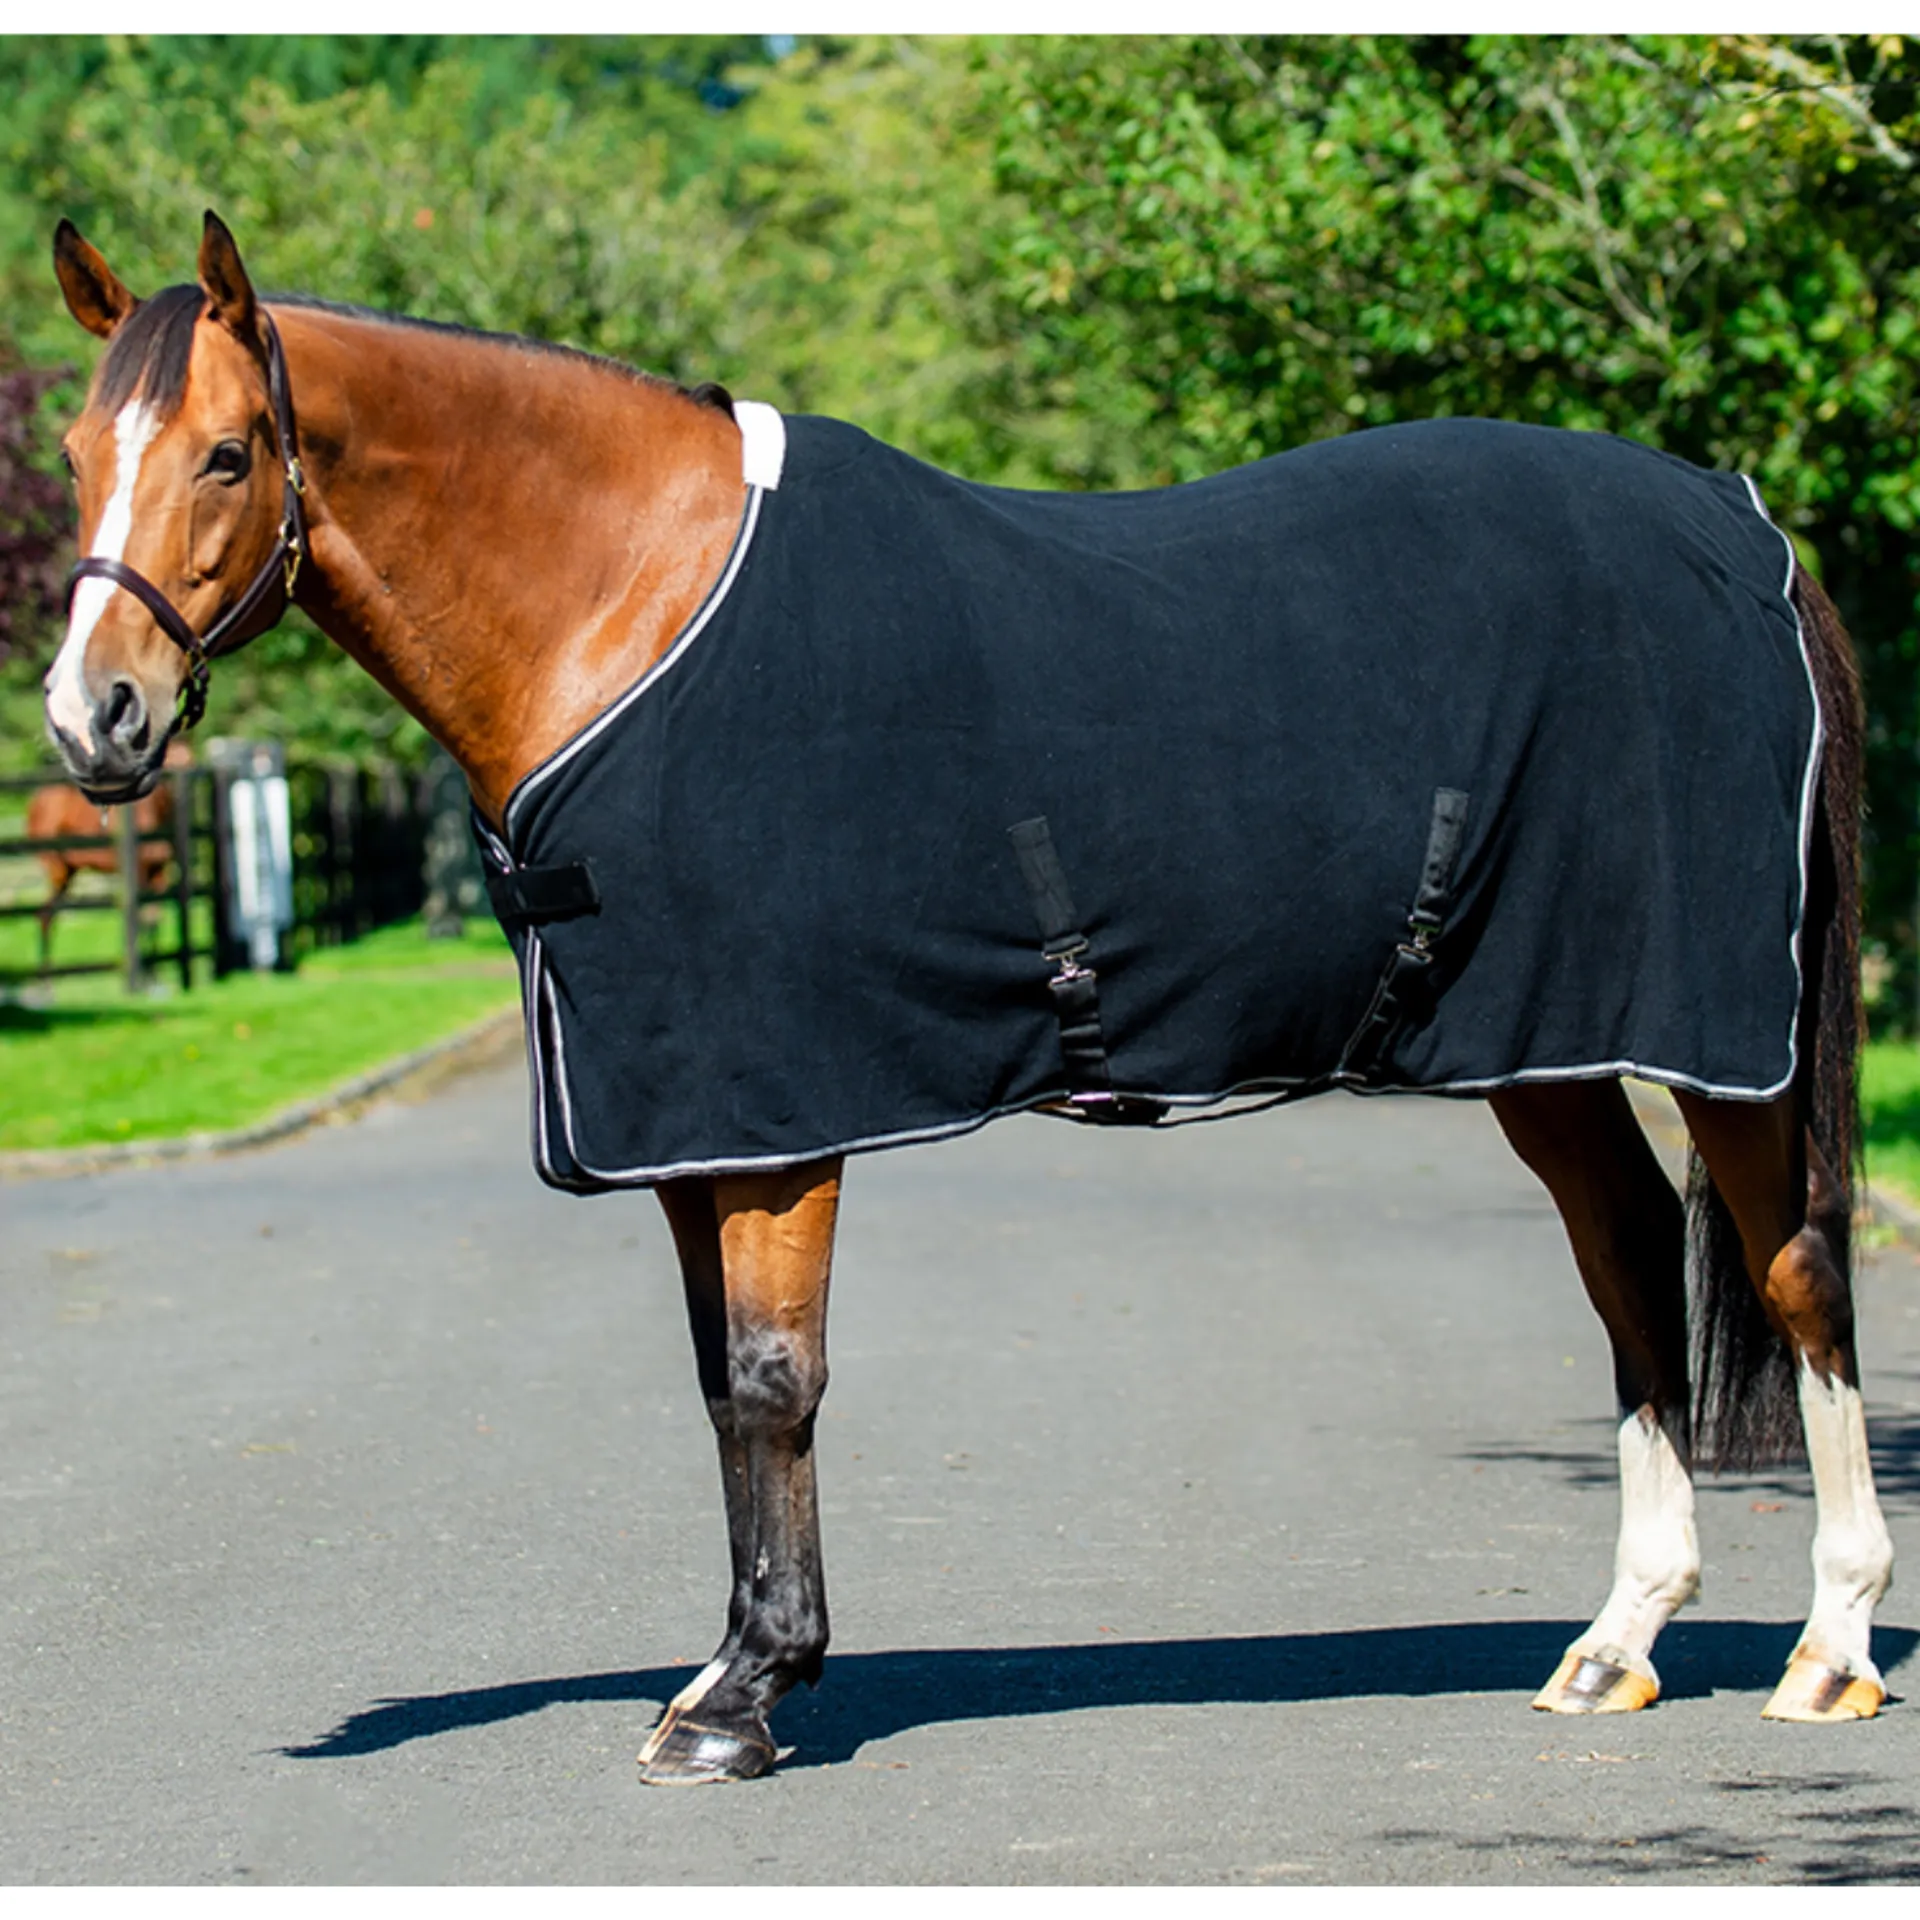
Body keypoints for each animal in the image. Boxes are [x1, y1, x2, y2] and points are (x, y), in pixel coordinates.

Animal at [41, 212, 1894, 1785]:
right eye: (69, 458)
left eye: (226, 452)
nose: (88, 721)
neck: (630, 608)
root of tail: (1740, 527)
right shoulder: (689, 1120)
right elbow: (720, 1386)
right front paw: (738, 1668)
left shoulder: (782, 1116)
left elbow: (774, 1381)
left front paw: (744, 1702)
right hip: (1550, 1043)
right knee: (1632, 1264)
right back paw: (1617, 1641)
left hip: (1718, 1045)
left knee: (1795, 1269)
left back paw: (1829, 1648)